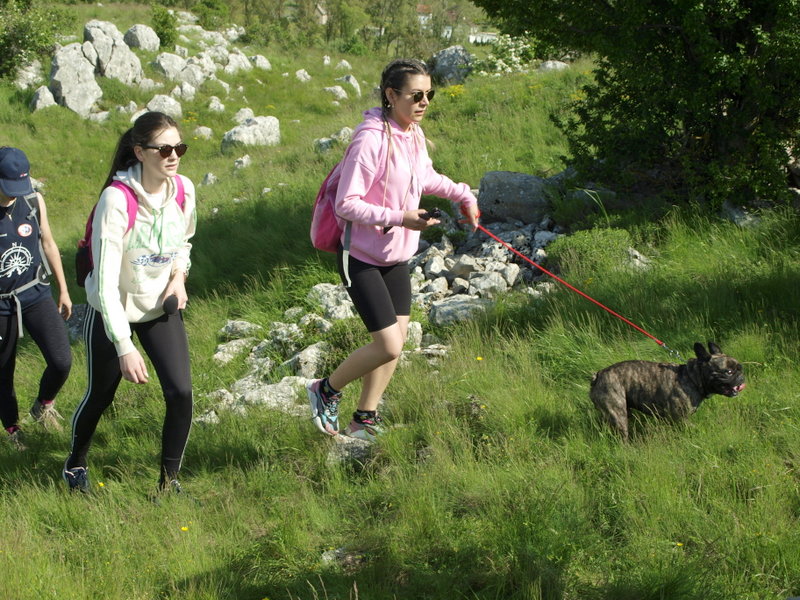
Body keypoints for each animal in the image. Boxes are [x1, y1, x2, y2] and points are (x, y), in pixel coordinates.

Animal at [589, 342, 745, 440]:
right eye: (728, 372)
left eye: (740, 368)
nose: (742, 377)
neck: (692, 378)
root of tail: (598, 375)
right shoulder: (680, 418)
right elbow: (692, 428)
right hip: (618, 413)